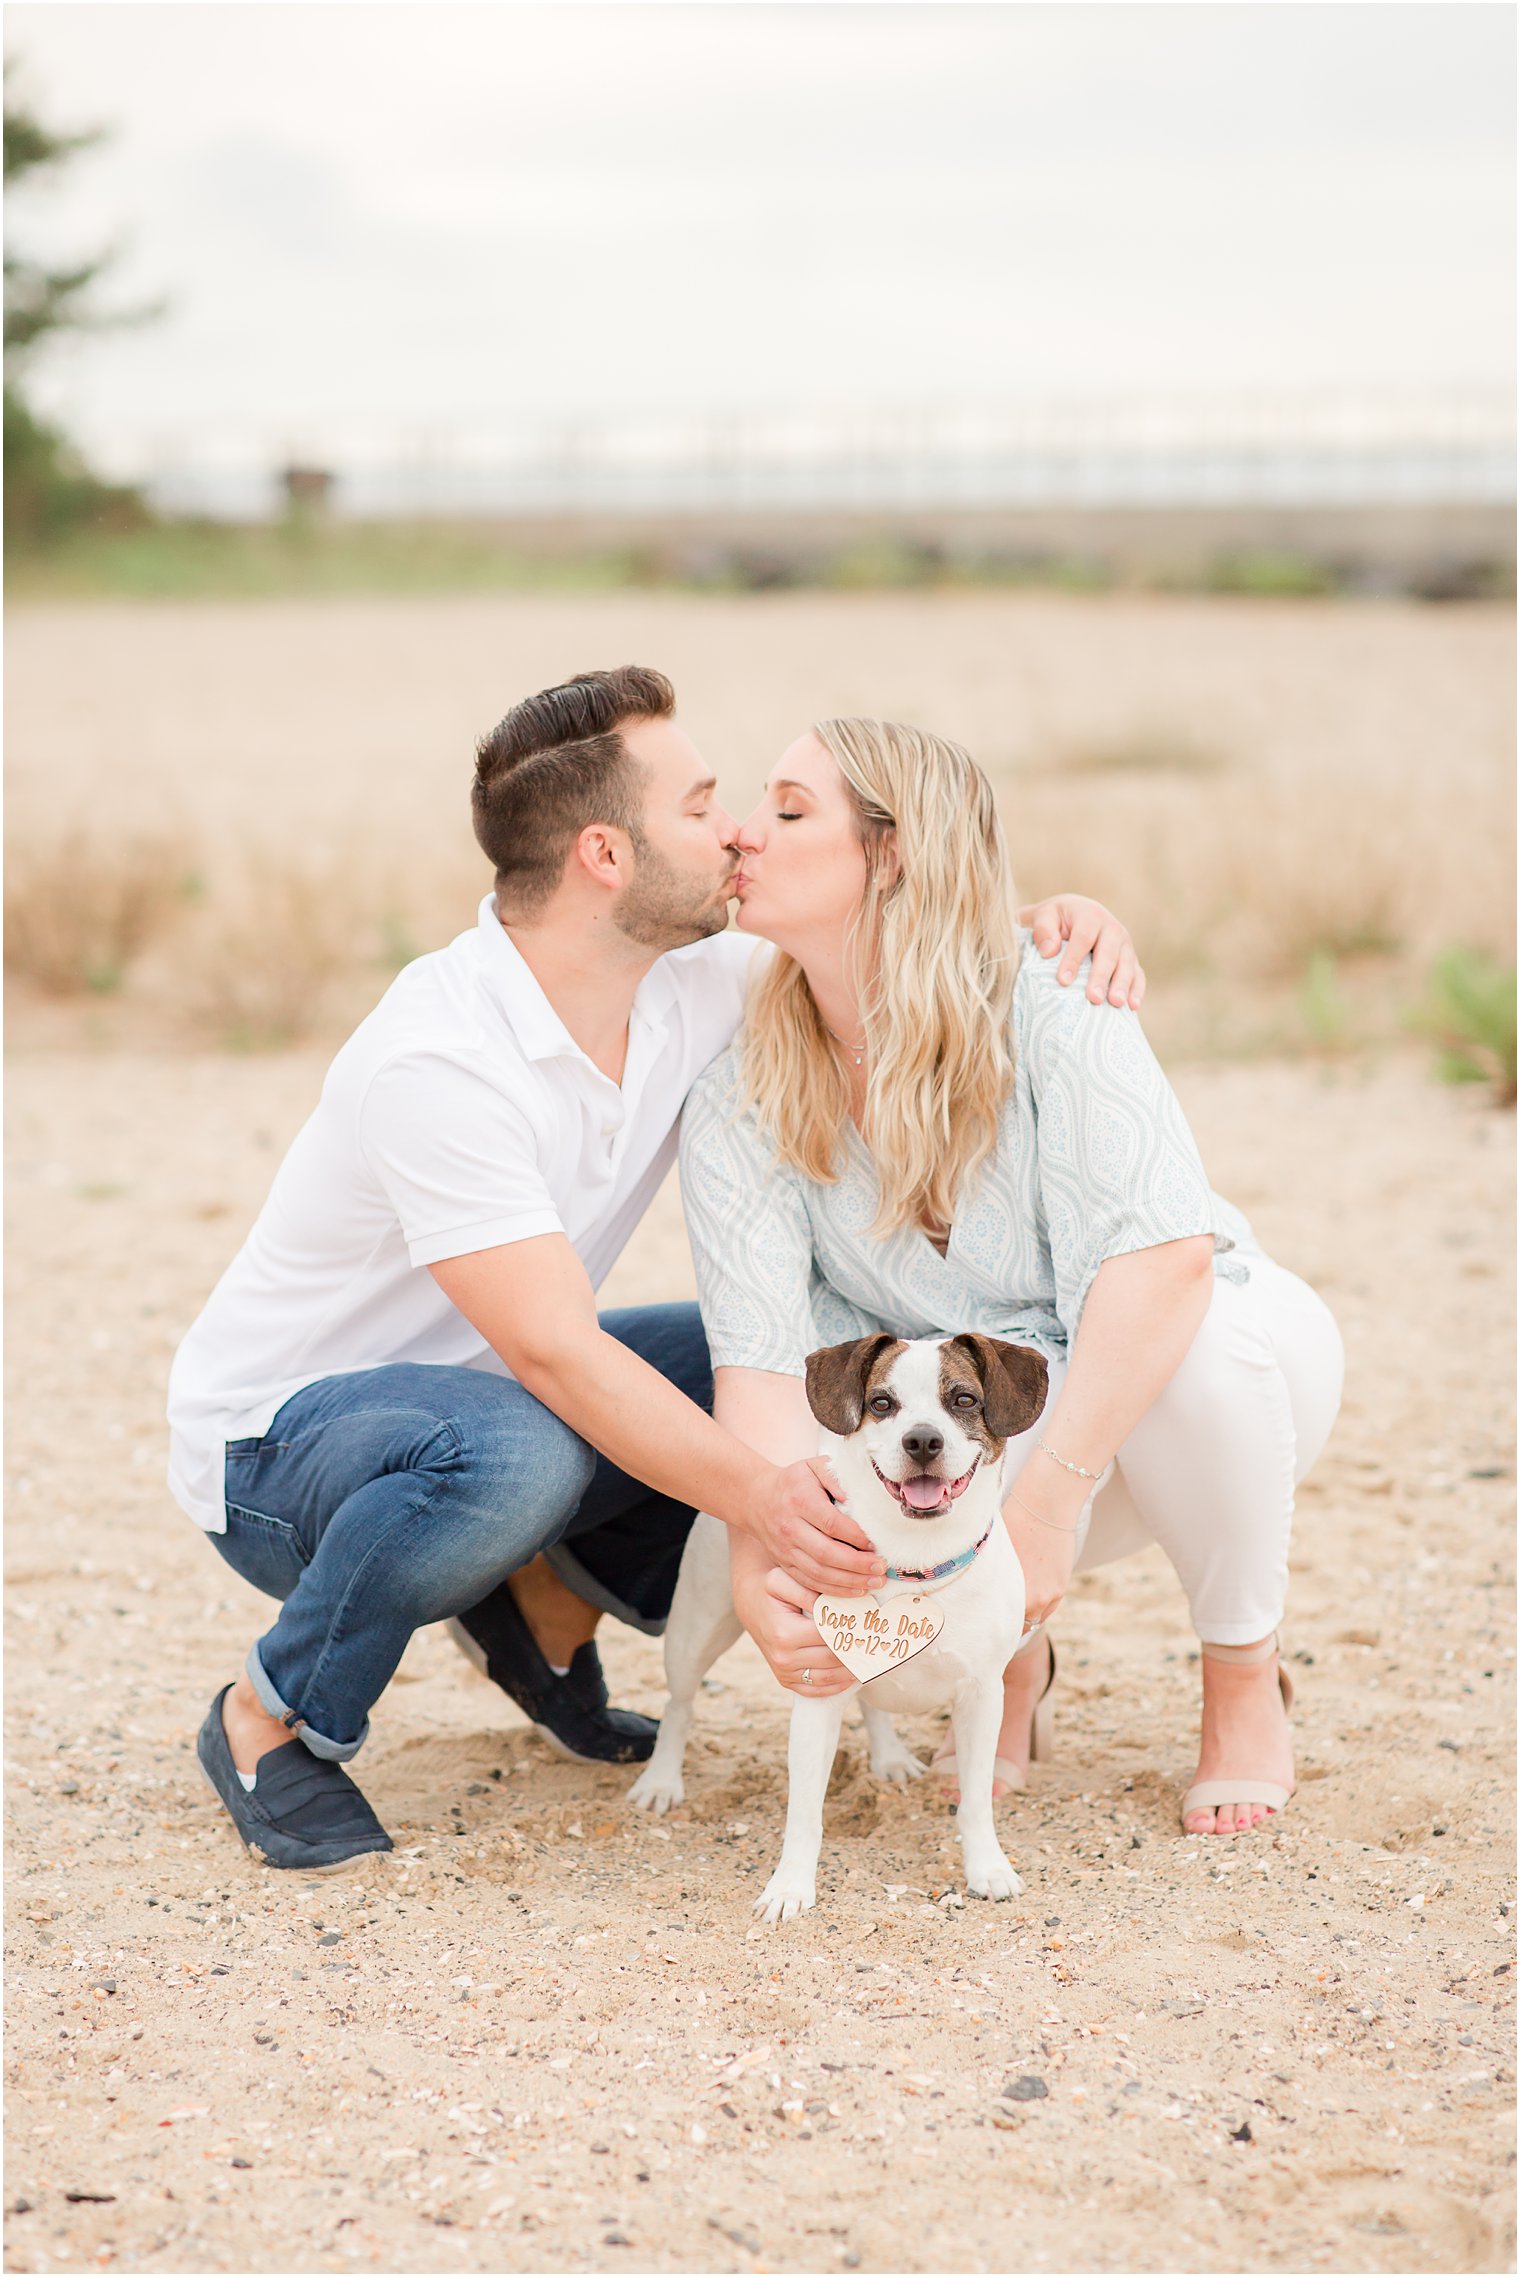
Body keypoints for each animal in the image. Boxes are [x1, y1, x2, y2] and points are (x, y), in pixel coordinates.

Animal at [628, 1329, 1046, 1930]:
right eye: (882, 1404)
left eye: (964, 1400)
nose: (922, 1440)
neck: (915, 1564)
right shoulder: (816, 1694)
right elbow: (804, 1812)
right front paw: (789, 1887)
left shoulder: (983, 1696)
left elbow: (974, 1800)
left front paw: (987, 1867)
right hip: (696, 1629)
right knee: (679, 1706)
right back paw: (661, 1781)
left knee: (873, 1705)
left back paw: (889, 1758)